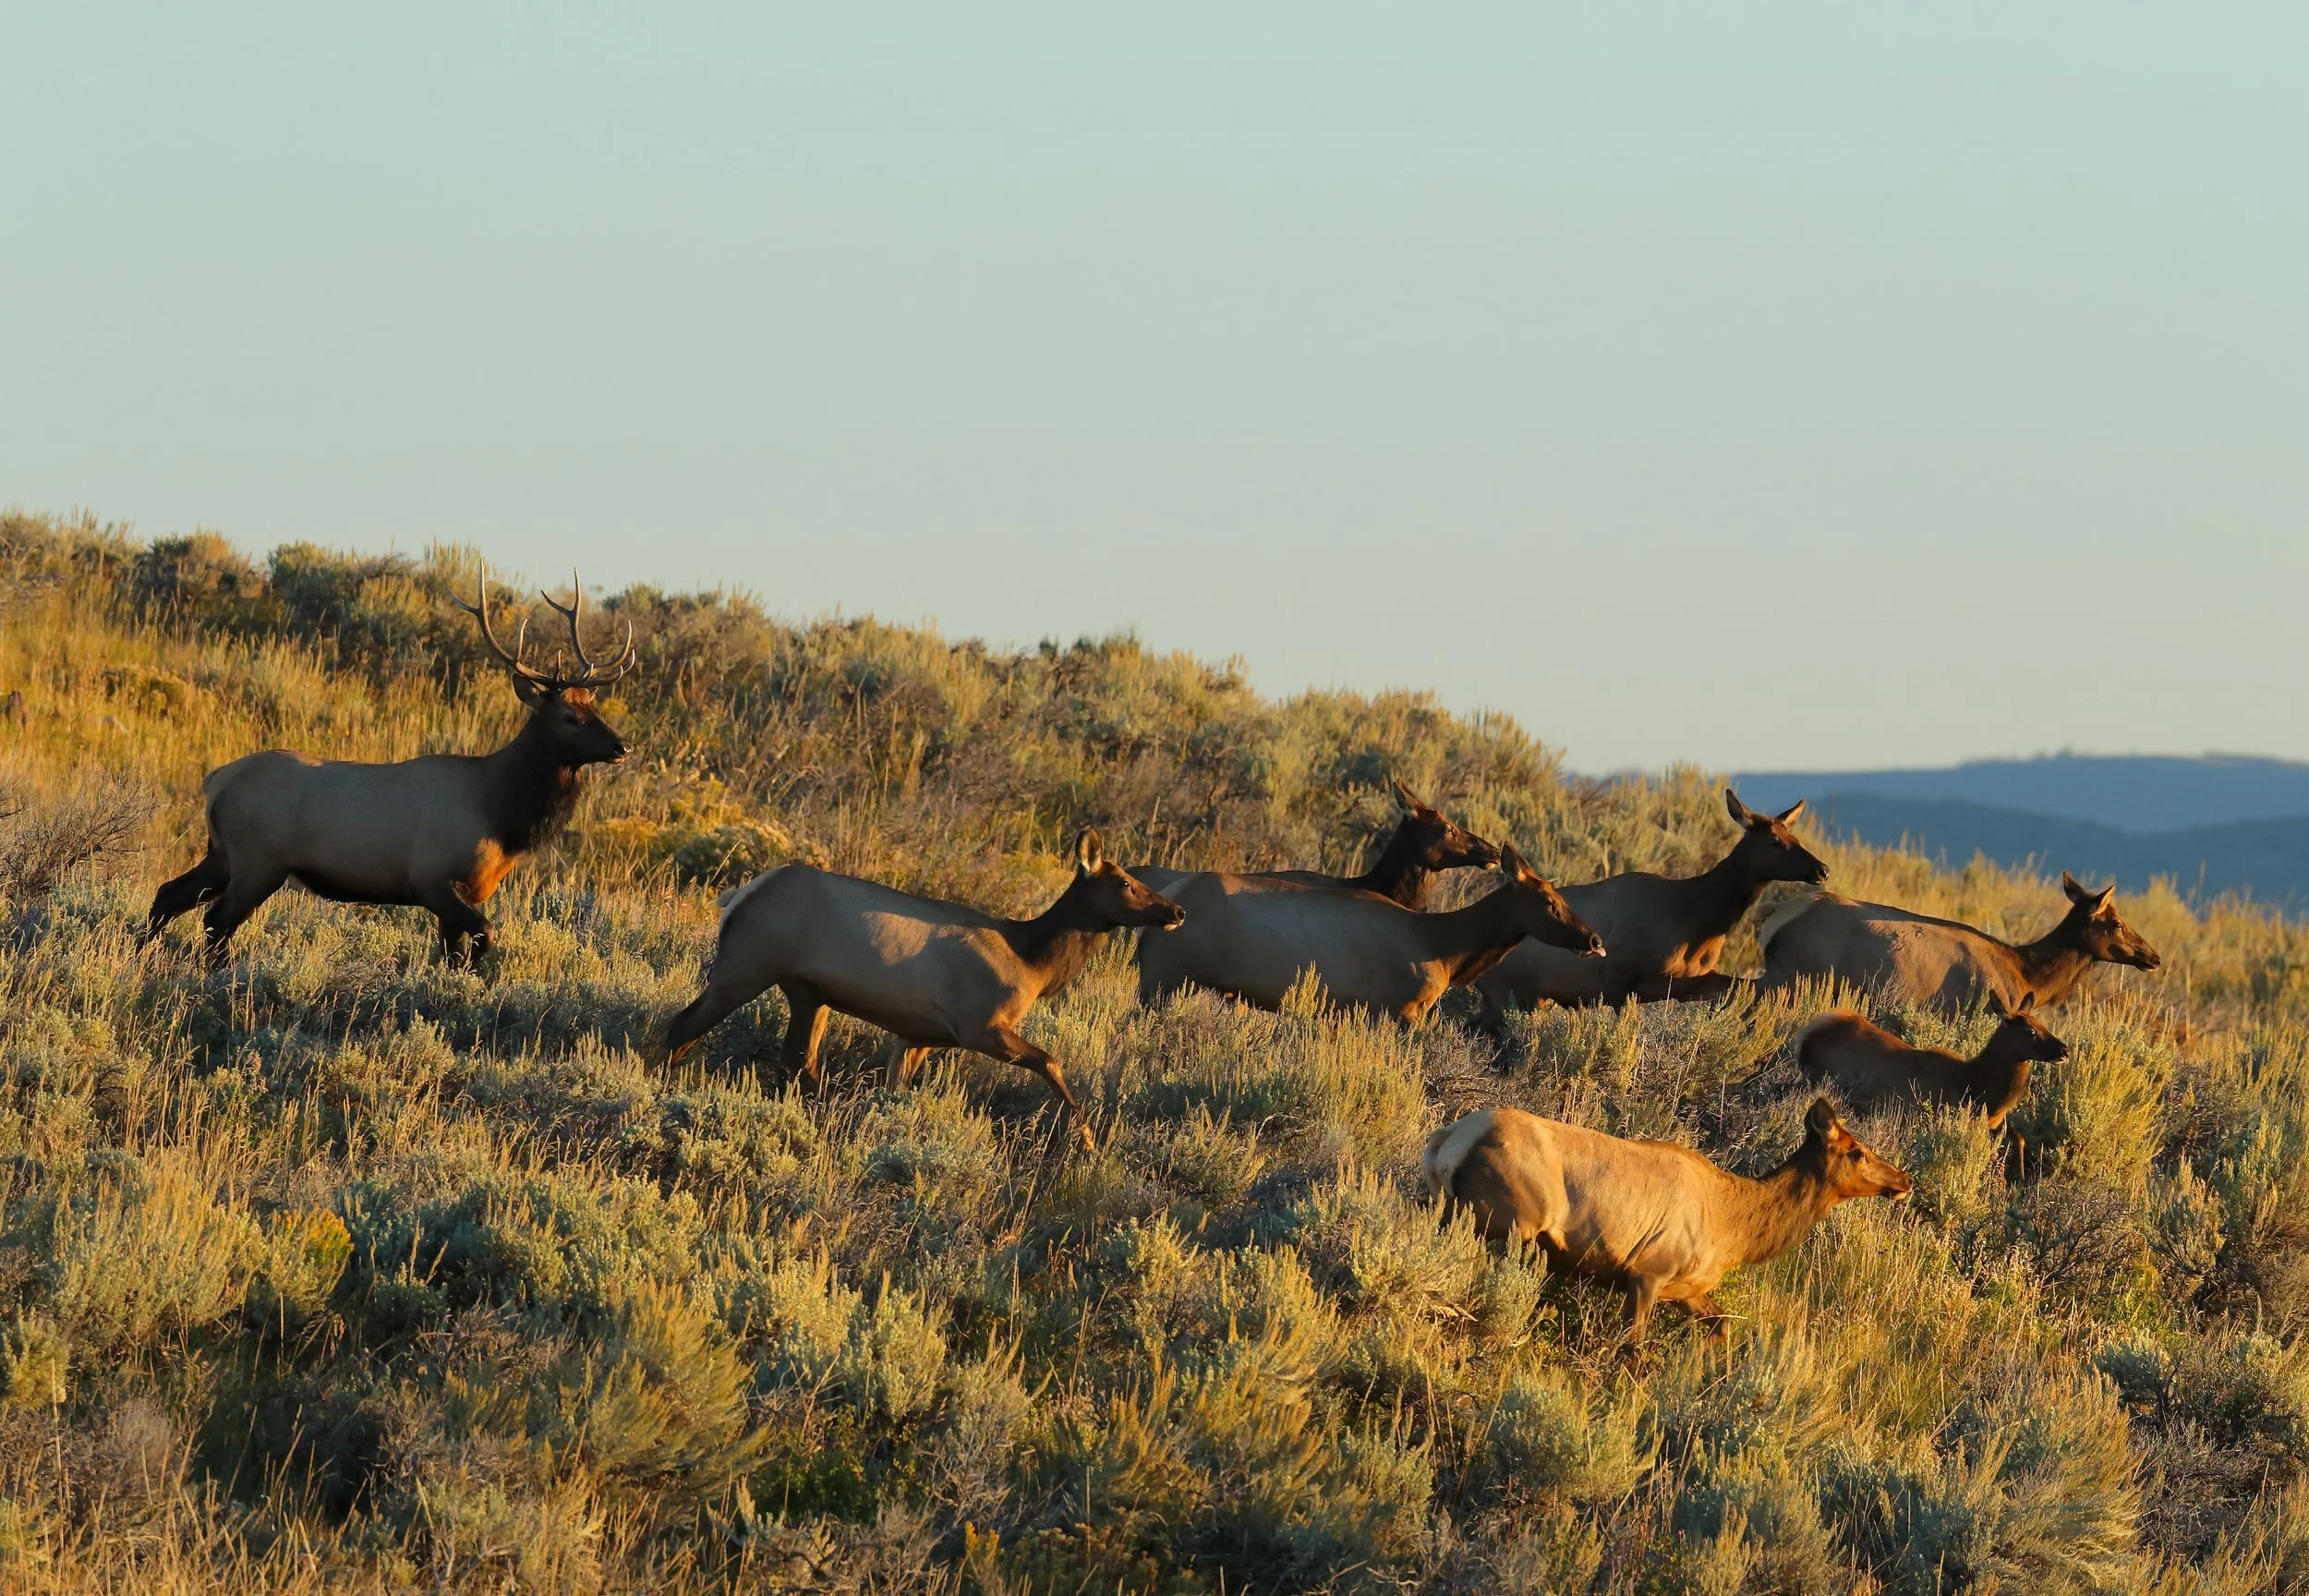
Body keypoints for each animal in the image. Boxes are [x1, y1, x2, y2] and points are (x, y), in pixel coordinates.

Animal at [145, 575, 635, 963]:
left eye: (594, 706)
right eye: (568, 717)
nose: (622, 746)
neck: (500, 813)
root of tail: (214, 781)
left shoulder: (467, 889)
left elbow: (453, 954)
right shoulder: (430, 878)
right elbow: (485, 936)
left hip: (222, 853)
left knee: (168, 895)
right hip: (258, 860)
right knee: (216, 920)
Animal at [658, 830, 1184, 1150]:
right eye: (1125, 883)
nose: (1176, 911)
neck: (1033, 963)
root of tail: (737, 896)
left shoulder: (920, 1034)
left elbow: (898, 1089)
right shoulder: (979, 1025)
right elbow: (1051, 1061)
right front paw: (1088, 1139)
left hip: (809, 992)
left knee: (799, 1058)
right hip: (748, 965)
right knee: (681, 1025)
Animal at [1133, 843, 1604, 1021]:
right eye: (1550, 902)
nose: (1595, 940)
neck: (1444, 949)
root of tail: (1171, 897)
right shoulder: (1401, 1011)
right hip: (1162, 977)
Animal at [1422, 1098, 1911, 1342]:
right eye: (1858, 1152)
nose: (1904, 1179)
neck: (1732, 1231)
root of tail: (1445, 1141)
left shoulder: (1686, 1288)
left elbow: (1723, 1328)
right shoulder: (1647, 1271)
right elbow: (1631, 1348)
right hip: (1511, 1223)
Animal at [1473, 790, 1823, 1025]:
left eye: (1793, 835)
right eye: (1775, 841)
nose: (1822, 869)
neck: (1697, 919)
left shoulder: (1693, 978)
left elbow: (1741, 988)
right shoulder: (1618, 977)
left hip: (1532, 997)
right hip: (1504, 993)